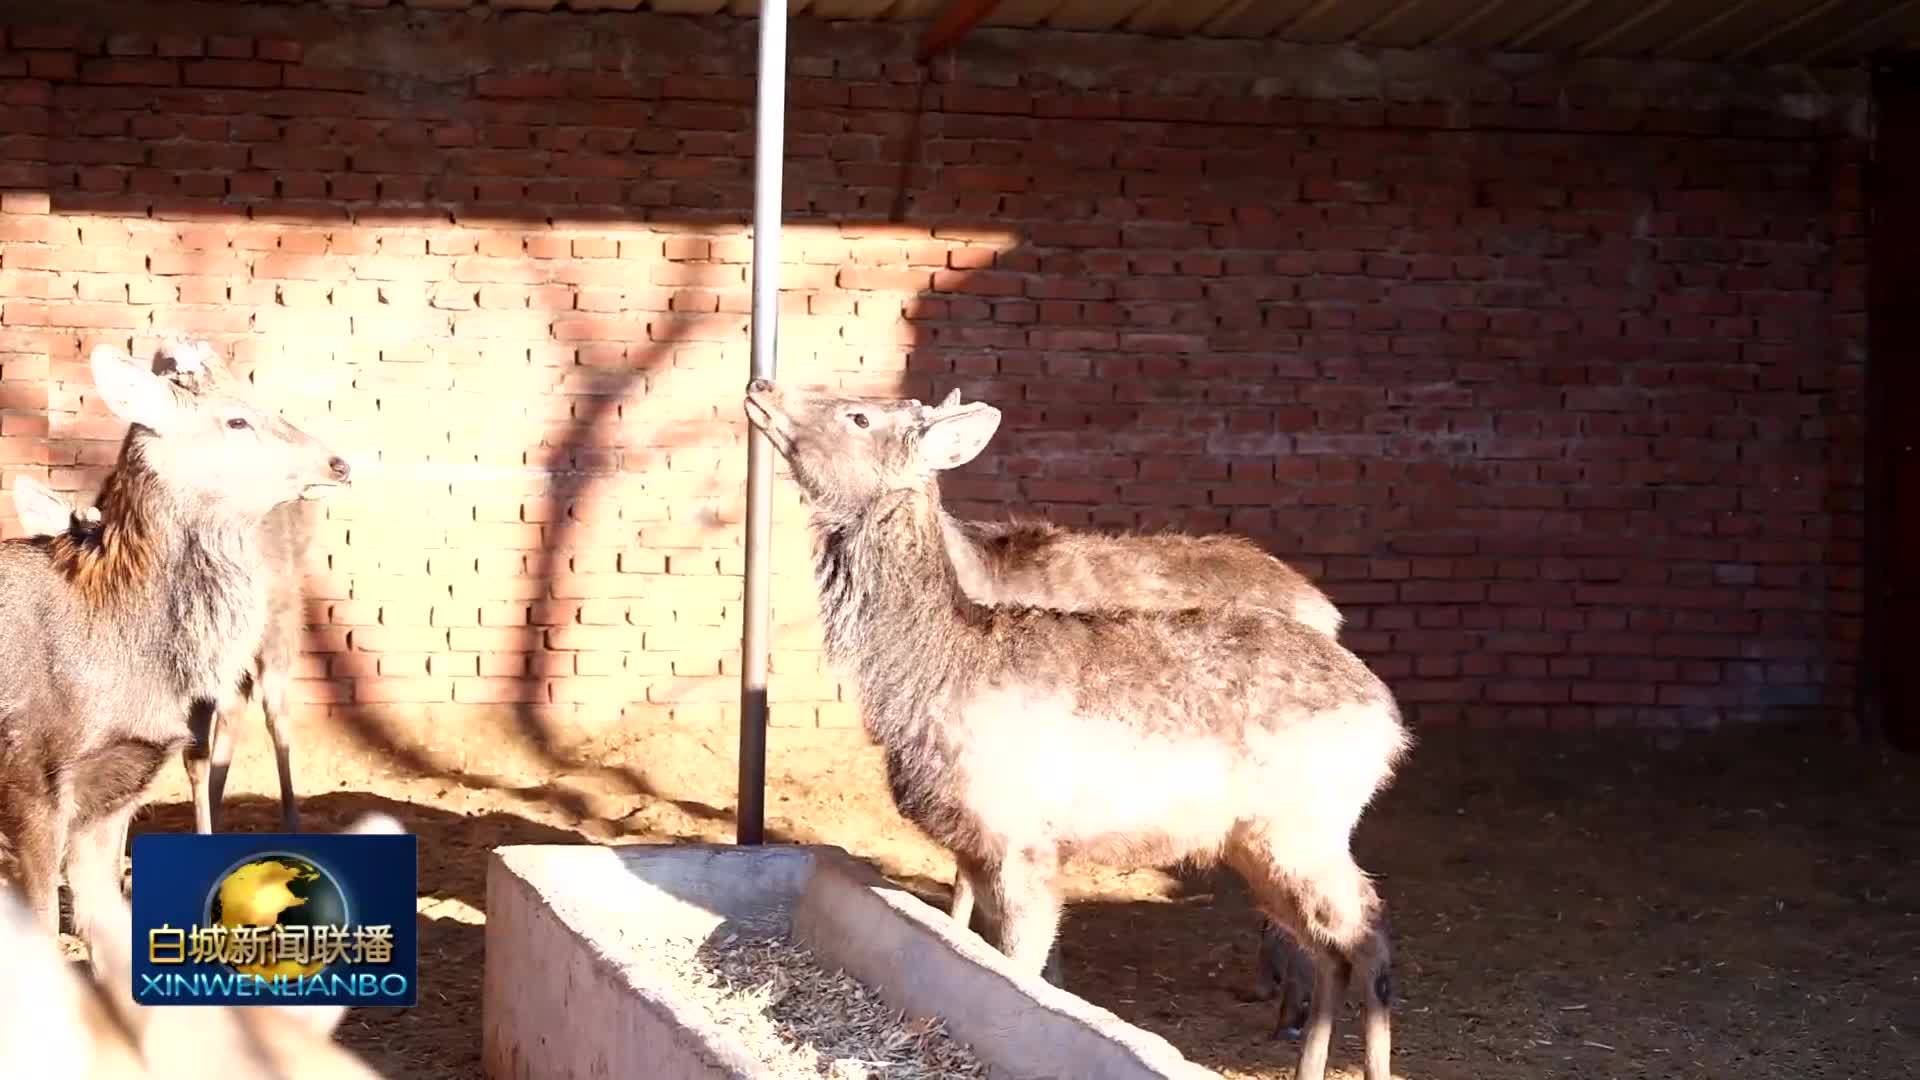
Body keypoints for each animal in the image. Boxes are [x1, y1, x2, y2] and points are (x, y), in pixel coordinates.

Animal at [748, 378, 1413, 1076]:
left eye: (859, 414)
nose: (763, 385)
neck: (937, 676)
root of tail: (1389, 720)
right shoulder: (976, 844)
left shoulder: (1021, 837)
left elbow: (1020, 968)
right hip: (1258, 841)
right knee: (1331, 946)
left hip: (1305, 825)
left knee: (1369, 933)